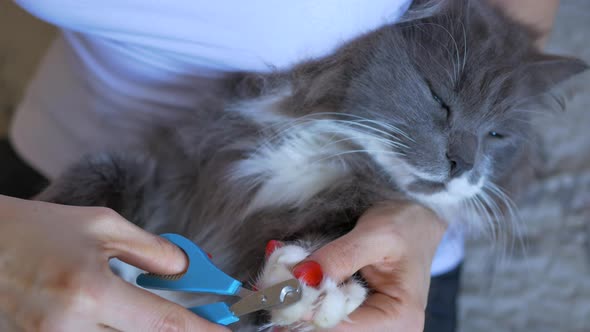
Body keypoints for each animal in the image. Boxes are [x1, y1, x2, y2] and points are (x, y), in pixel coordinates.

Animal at [38, 0, 588, 330]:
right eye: (439, 99)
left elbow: (319, 245)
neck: (328, 150)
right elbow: (91, 186)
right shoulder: (167, 176)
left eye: (498, 135)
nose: (462, 162)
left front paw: (318, 291)